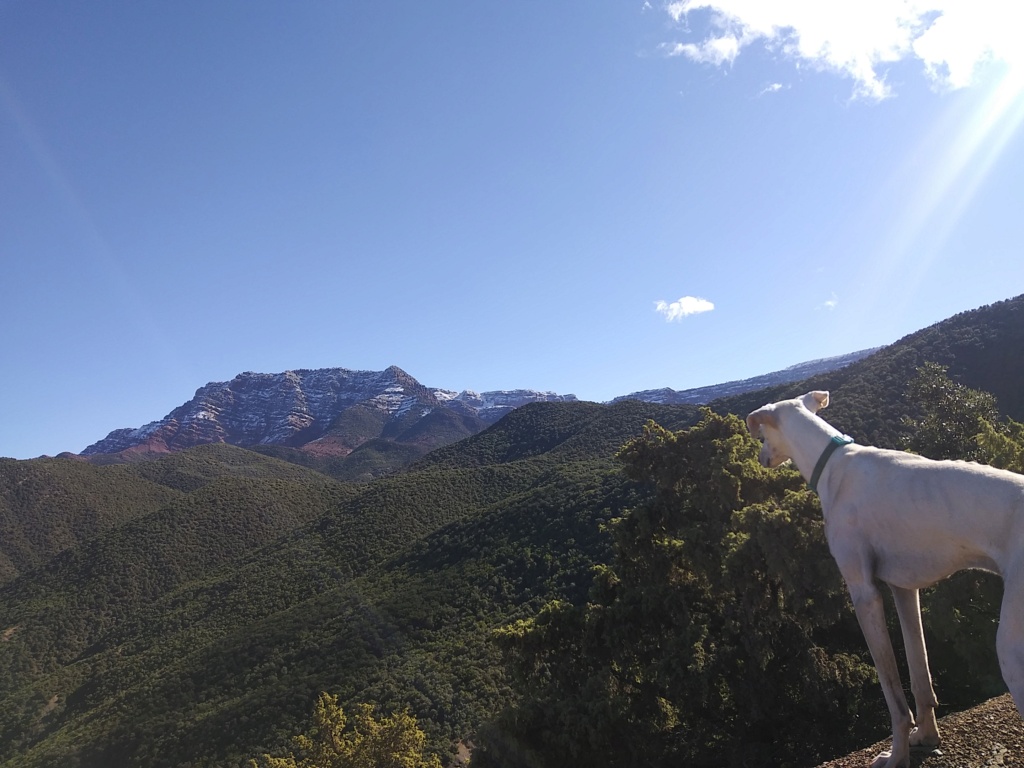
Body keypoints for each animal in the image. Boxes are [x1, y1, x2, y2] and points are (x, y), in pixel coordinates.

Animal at [745, 393, 1024, 765]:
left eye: (761, 436)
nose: (761, 459)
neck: (833, 463)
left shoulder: (865, 594)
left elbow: (893, 696)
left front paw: (896, 757)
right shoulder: (904, 589)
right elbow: (920, 678)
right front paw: (925, 737)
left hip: (1011, 648)